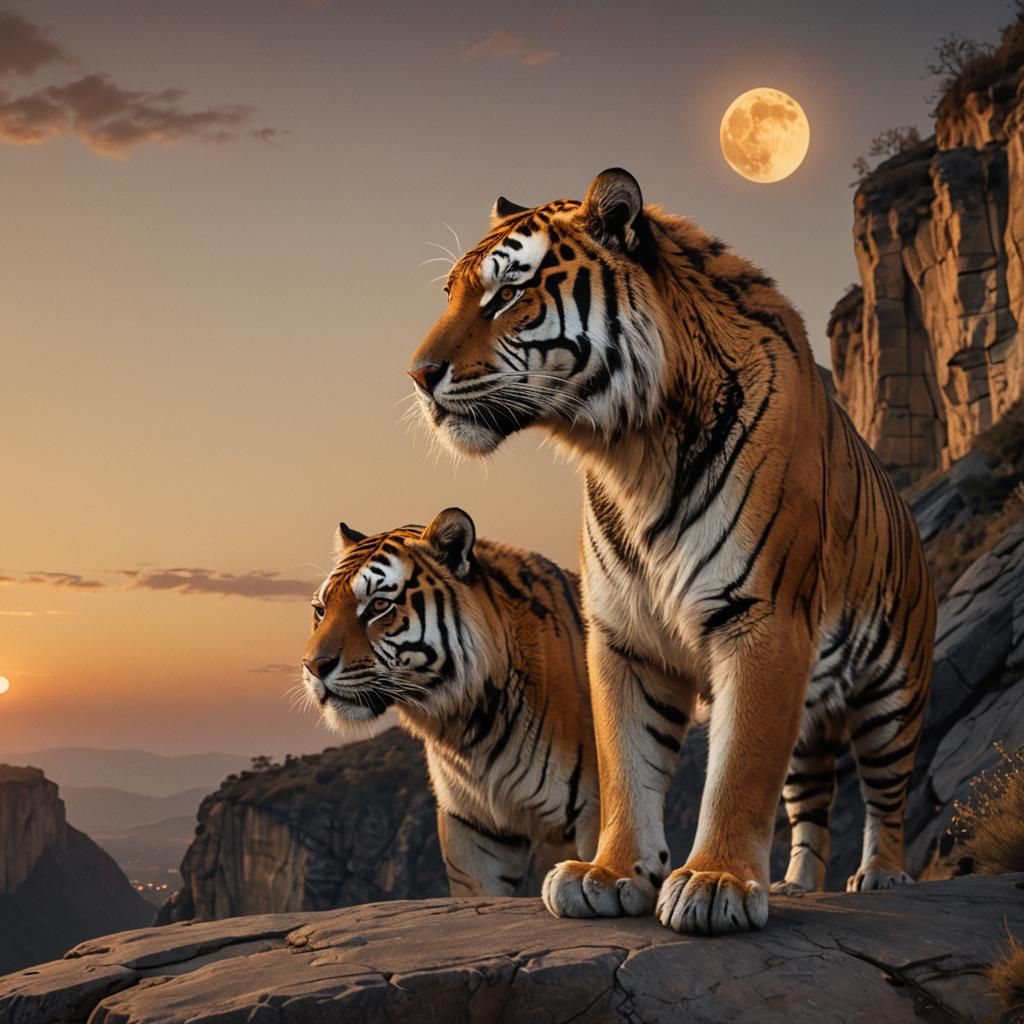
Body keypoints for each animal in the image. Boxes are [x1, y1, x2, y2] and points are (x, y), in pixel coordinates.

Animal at [407, 168, 936, 935]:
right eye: (450, 292)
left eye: (506, 294)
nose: (418, 375)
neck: (631, 449)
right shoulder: (626, 637)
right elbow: (628, 765)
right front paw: (608, 874)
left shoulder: (764, 620)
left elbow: (739, 768)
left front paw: (715, 883)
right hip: (812, 717)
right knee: (812, 803)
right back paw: (801, 882)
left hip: (893, 694)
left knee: (886, 794)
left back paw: (883, 876)